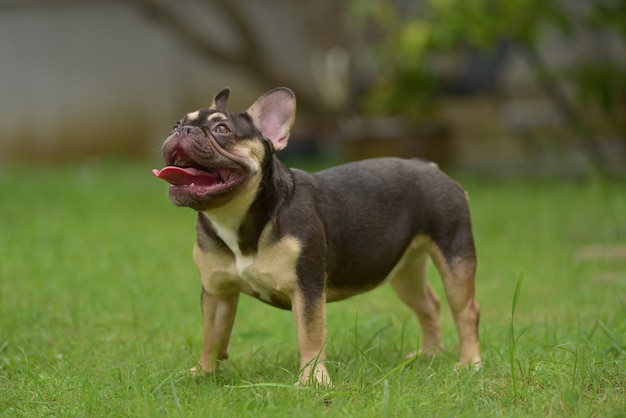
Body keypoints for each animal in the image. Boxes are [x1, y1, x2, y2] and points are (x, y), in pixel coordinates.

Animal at [151, 87, 478, 386]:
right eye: (176, 124)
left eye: (222, 129)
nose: (183, 130)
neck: (237, 218)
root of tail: (429, 166)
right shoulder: (217, 293)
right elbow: (212, 335)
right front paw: (203, 372)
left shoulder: (306, 289)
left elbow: (310, 335)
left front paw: (312, 380)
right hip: (405, 272)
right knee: (429, 305)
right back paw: (429, 354)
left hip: (454, 258)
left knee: (466, 311)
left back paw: (469, 364)